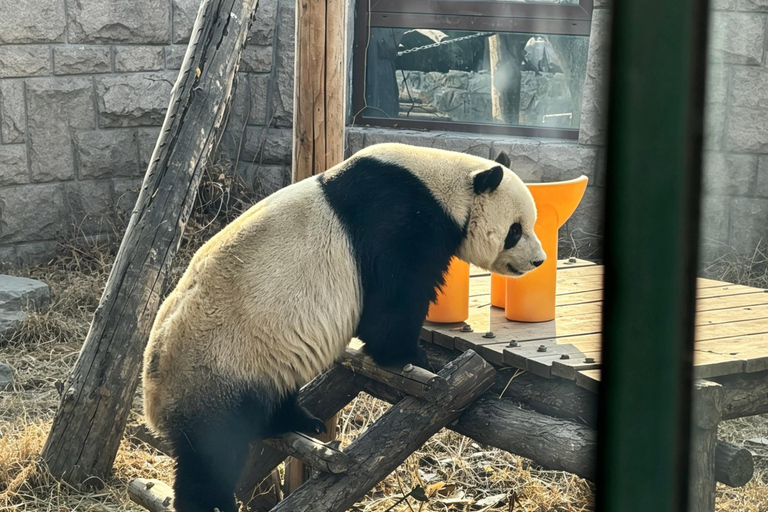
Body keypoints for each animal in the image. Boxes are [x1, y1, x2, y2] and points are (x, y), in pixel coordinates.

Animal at [142, 142, 546, 512]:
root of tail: (153, 400)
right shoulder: (400, 221)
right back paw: (213, 501)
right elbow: (391, 303)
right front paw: (412, 357)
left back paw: (302, 422)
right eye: (515, 230)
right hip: (217, 366)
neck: (444, 185)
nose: (538, 260)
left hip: (257, 362)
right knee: (211, 451)